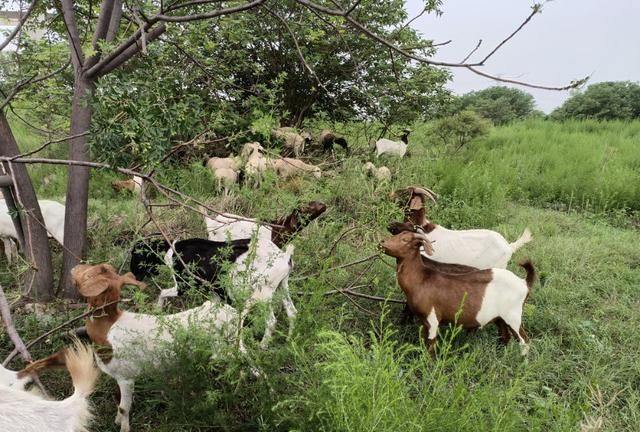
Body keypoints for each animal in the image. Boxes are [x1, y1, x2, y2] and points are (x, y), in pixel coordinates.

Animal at [382, 231, 536, 352]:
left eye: (405, 239)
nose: (382, 242)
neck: (422, 279)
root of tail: (524, 283)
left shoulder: (432, 318)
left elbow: (430, 345)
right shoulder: (424, 321)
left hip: (513, 316)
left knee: (525, 341)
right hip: (500, 317)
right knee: (505, 336)